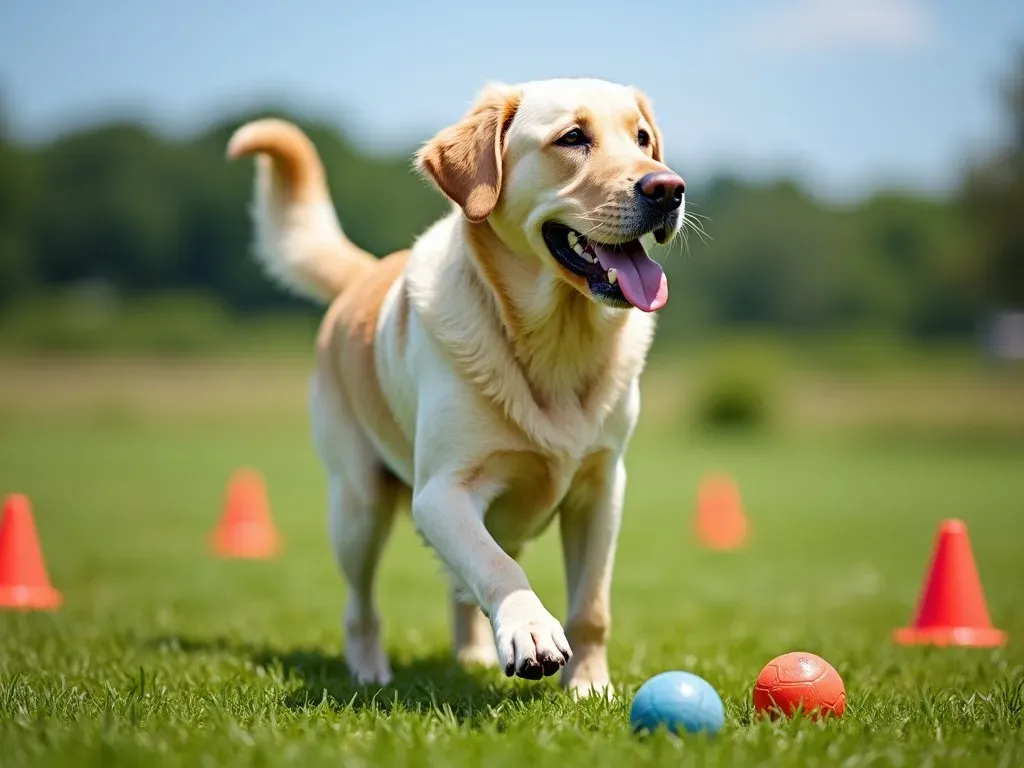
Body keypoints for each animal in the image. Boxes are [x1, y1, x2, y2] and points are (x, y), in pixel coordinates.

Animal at [228, 78, 684, 696]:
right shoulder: (442, 491)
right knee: (361, 606)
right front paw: (531, 630)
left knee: (457, 588)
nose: (669, 189)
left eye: (642, 139)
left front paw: (589, 687)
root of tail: (366, 273)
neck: (557, 344)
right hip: (358, 505)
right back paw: (369, 671)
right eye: (572, 137)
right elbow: (498, 567)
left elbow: (591, 607)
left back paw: (471, 655)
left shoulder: (602, 488)